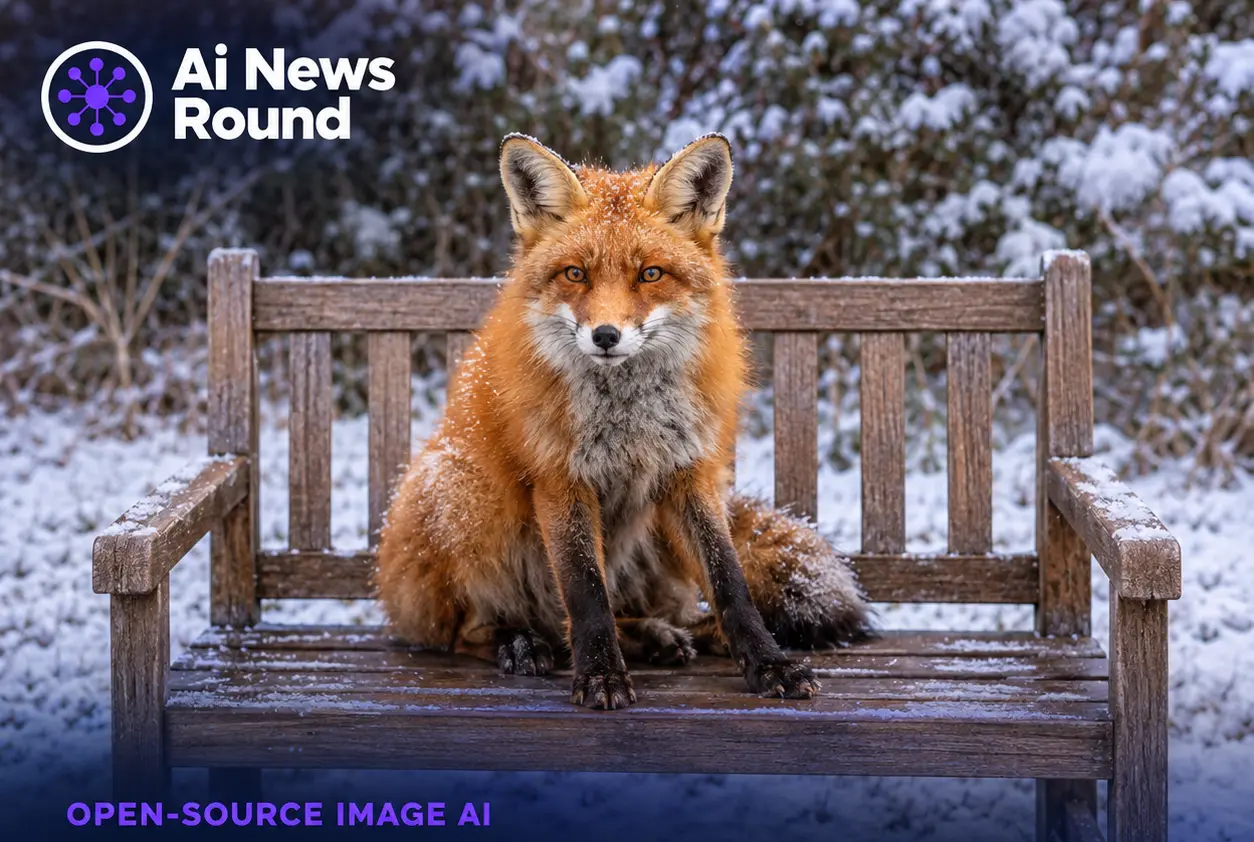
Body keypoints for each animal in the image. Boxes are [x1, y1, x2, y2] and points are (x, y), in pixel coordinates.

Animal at [375, 133, 872, 710]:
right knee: (467, 631)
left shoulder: (689, 473)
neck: (627, 421)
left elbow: (730, 581)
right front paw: (600, 675)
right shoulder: (560, 479)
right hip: (464, 494)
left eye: (650, 274)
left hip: (654, 535)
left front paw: (768, 663)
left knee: (652, 613)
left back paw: (668, 637)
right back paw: (519, 643)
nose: (606, 335)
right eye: (576, 274)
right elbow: (585, 593)